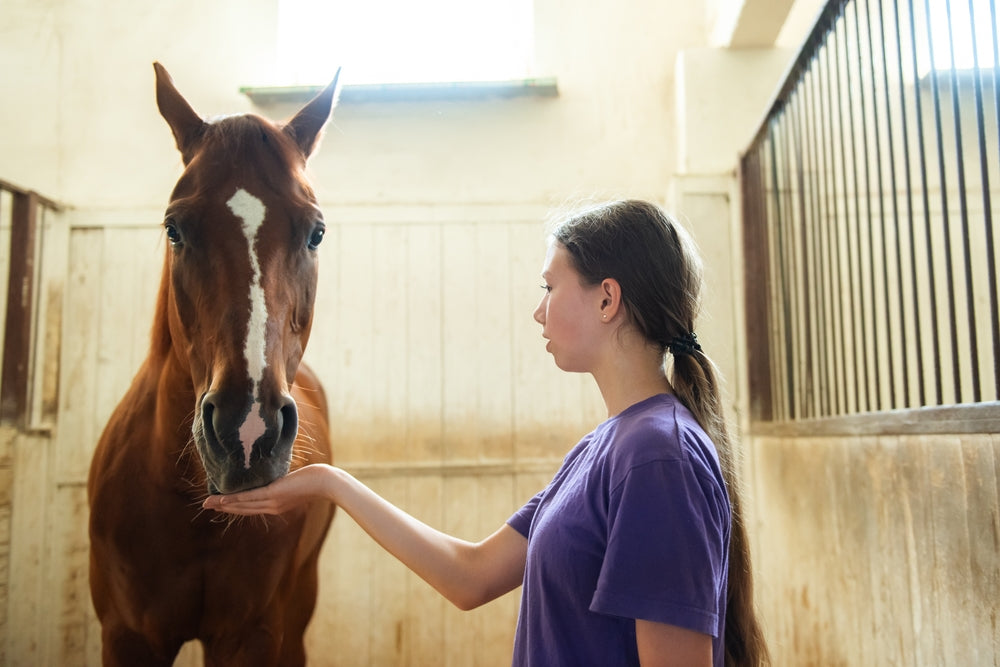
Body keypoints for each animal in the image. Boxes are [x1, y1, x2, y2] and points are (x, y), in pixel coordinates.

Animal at [87, 62, 339, 666]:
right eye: (175, 228)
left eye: (316, 232)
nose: (247, 433)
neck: (190, 506)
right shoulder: (127, 637)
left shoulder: (251, 635)